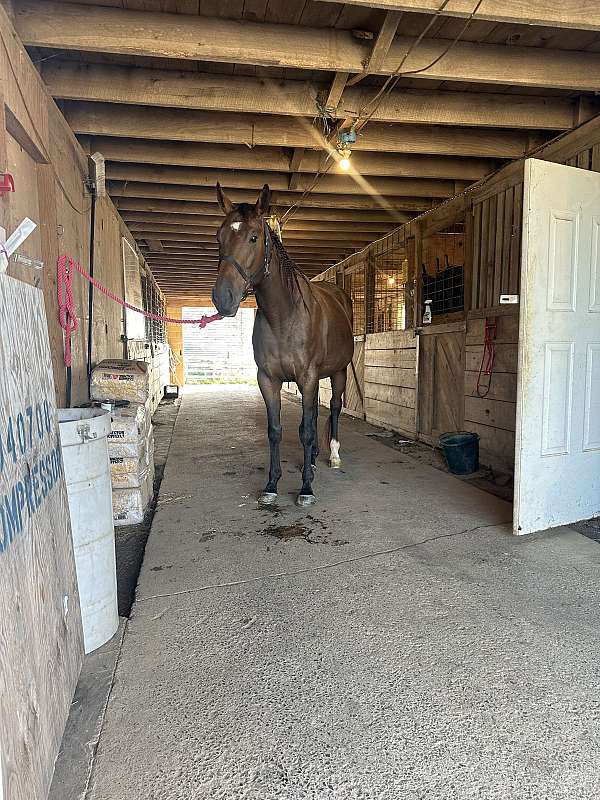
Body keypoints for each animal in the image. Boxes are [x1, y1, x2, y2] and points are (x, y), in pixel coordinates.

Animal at [211, 184, 354, 504]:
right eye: (219, 236)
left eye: (254, 237)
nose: (223, 298)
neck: (284, 315)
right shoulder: (268, 378)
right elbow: (276, 430)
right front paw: (271, 485)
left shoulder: (308, 376)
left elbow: (306, 431)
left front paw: (306, 488)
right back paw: (312, 460)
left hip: (338, 372)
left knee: (334, 407)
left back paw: (334, 455)